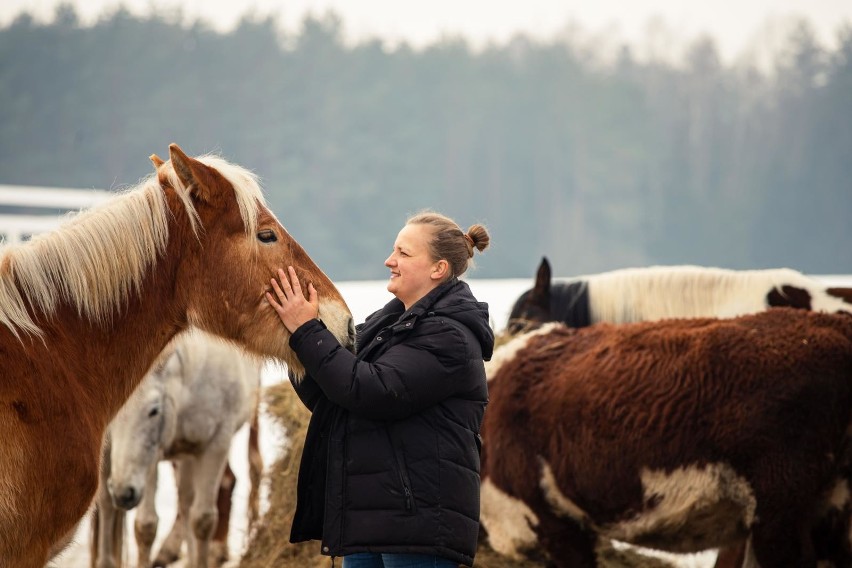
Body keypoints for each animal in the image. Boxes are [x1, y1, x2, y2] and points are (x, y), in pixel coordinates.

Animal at [91, 330, 262, 568]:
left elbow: (202, 520)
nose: (124, 493)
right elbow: (146, 526)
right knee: (106, 504)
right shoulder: (150, 458)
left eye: (154, 410)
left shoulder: (215, 445)